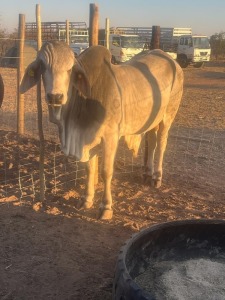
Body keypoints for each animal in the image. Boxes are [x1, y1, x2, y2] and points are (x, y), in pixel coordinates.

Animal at [20, 41, 184, 219]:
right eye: (43, 66)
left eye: (70, 69)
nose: (55, 97)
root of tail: (170, 59)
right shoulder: (87, 138)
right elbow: (89, 169)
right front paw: (86, 199)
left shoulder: (110, 137)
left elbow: (106, 171)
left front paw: (105, 207)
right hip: (153, 120)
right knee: (152, 142)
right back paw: (147, 173)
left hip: (168, 116)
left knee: (161, 144)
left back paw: (156, 177)